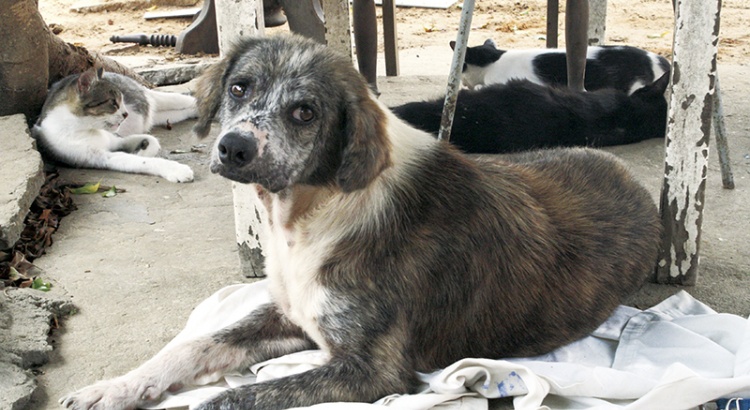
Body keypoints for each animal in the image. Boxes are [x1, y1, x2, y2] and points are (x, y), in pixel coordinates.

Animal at [33, 68, 197, 182]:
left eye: (121, 100)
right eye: (113, 102)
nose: (126, 114)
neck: (84, 128)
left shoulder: (117, 139)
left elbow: (150, 145)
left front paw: (141, 151)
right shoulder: (100, 157)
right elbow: (138, 158)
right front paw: (176, 169)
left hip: (156, 98)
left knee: (186, 100)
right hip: (163, 115)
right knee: (181, 111)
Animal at [60, 35, 664, 410]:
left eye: (305, 111)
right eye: (239, 87)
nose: (233, 148)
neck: (311, 213)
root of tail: (632, 180)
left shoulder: (374, 371)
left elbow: (231, 397)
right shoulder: (292, 316)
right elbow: (192, 346)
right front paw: (113, 388)